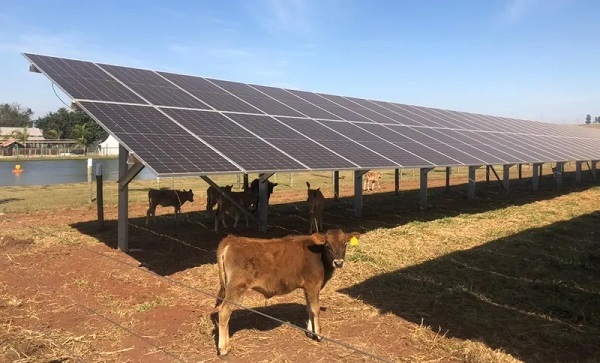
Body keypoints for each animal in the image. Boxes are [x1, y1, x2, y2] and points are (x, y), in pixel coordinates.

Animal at [213, 229, 358, 356]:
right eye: (327, 245)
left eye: (345, 244)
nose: (338, 262)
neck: (318, 255)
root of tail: (233, 239)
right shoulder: (313, 285)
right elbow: (315, 309)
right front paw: (318, 335)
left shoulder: (307, 287)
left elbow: (309, 308)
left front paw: (310, 331)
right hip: (236, 288)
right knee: (224, 312)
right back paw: (224, 349)